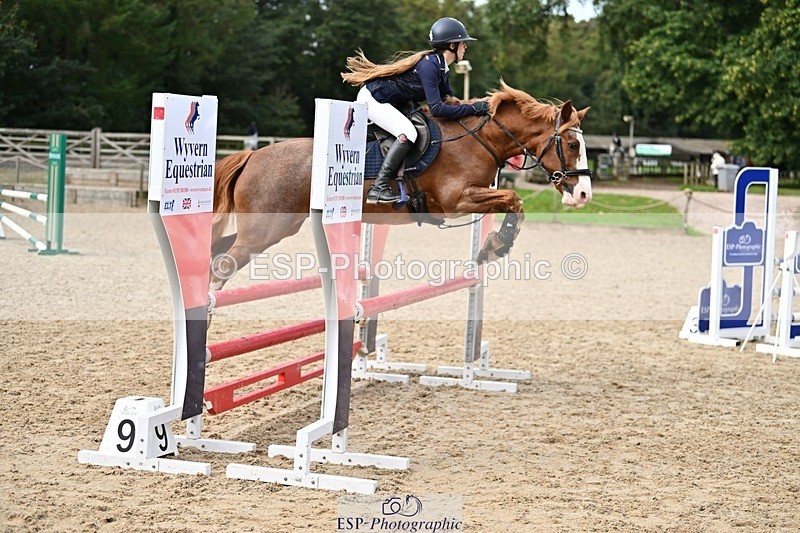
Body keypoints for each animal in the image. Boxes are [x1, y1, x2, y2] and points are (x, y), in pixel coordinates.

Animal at [210, 81, 591, 290]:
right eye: (573, 145)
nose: (584, 194)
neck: (478, 140)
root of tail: (252, 157)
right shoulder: (457, 200)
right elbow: (513, 197)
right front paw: (495, 247)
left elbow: (516, 204)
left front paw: (494, 246)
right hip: (265, 230)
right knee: (222, 266)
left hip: (275, 228)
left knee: (218, 252)